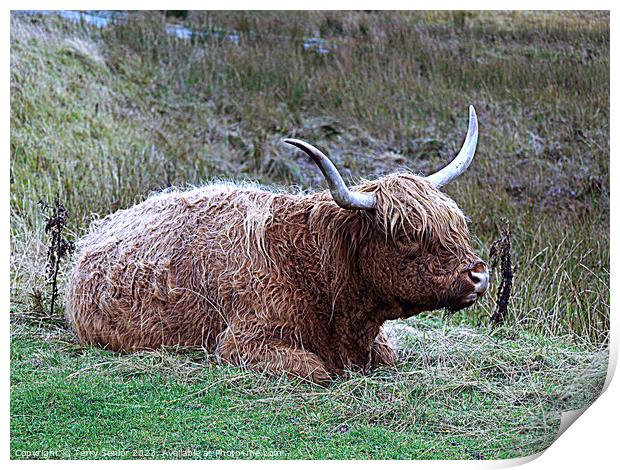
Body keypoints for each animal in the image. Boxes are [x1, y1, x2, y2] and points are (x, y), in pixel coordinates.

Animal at [65, 104, 486, 384]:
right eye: (406, 234)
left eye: (455, 224)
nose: (479, 275)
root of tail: (97, 230)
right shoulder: (241, 342)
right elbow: (318, 371)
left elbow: (389, 356)